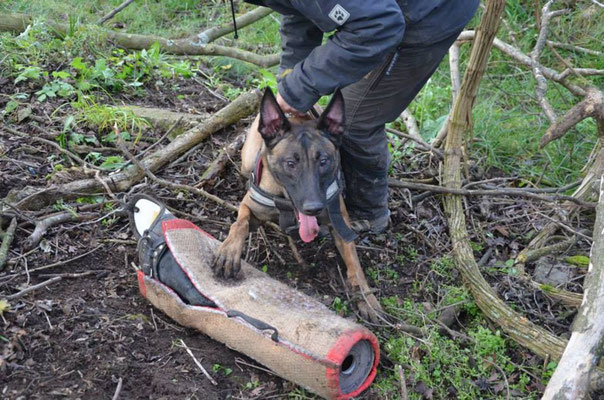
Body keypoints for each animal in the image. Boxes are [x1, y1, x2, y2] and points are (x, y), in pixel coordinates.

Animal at [214, 88, 382, 322]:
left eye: (324, 161)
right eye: (290, 163)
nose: (314, 208)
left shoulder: (340, 223)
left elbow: (355, 265)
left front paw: (366, 299)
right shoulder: (250, 206)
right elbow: (240, 224)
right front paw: (229, 250)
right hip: (247, 161)